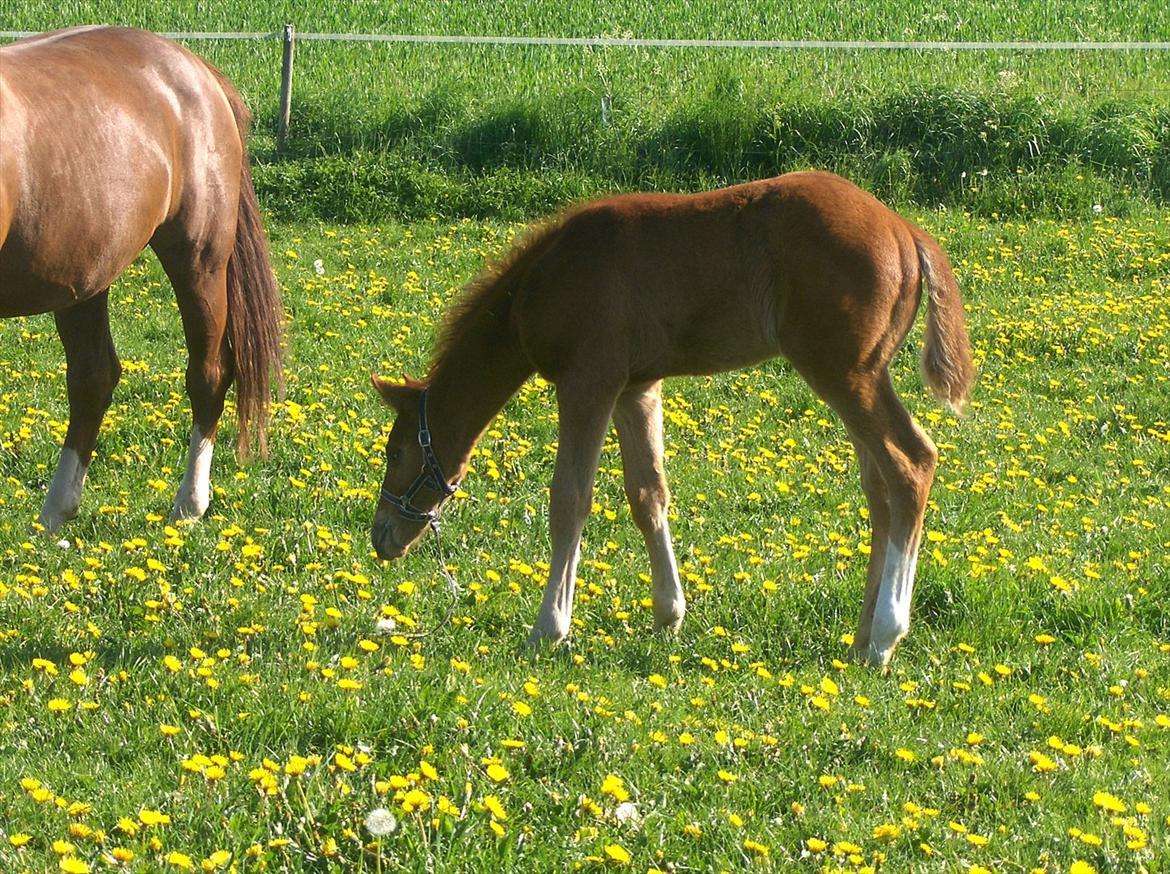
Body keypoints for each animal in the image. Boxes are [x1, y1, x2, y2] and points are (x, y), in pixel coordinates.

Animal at [0, 25, 280, 533]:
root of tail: (194, 68)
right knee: (93, 378)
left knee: (209, 375)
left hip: (199, 262)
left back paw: (189, 504)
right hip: (84, 277)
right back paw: (56, 512)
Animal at [369, 173, 973, 669]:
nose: (381, 538)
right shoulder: (636, 388)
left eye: (395, 452)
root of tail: (906, 231)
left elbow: (570, 499)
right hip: (860, 376)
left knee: (912, 462)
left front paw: (549, 629)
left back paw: (887, 636)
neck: (544, 281)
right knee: (879, 489)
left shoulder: (587, 382)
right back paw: (861, 639)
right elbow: (647, 494)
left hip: (845, 372)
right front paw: (668, 616)